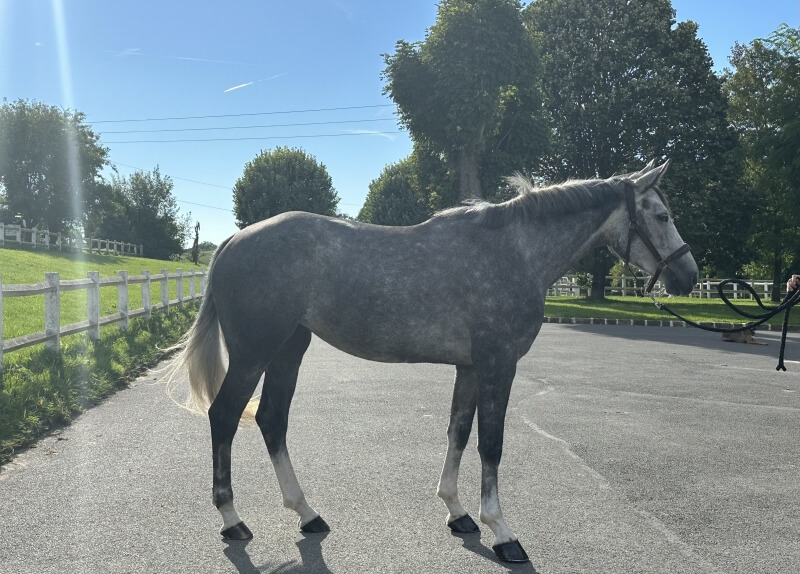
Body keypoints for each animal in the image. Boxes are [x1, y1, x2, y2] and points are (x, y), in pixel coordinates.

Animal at [170, 159, 698, 563]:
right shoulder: (497, 365)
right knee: (225, 416)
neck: (514, 252)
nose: (690, 277)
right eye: (661, 214)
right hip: (254, 353)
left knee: (272, 420)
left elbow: (458, 432)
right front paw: (501, 531)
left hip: (289, 350)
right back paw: (233, 520)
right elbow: (492, 445)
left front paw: (457, 512)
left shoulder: (471, 368)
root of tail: (232, 242)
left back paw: (307, 513)